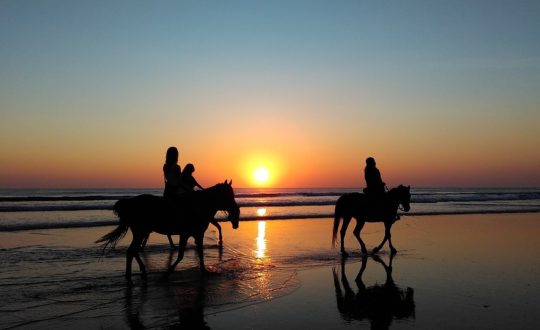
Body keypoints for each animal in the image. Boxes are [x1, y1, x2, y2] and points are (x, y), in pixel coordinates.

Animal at [97, 180, 240, 282]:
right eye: (228, 195)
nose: (236, 211)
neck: (198, 205)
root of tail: (128, 203)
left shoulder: (196, 234)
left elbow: (199, 252)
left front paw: (204, 271)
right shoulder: (187, 234)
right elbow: (182, 254)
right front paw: (167, 273)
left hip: (141, 232)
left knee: (133, 251)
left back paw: (138, 272)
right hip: (140, 232)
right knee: (132, 251)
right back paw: (134, 273)